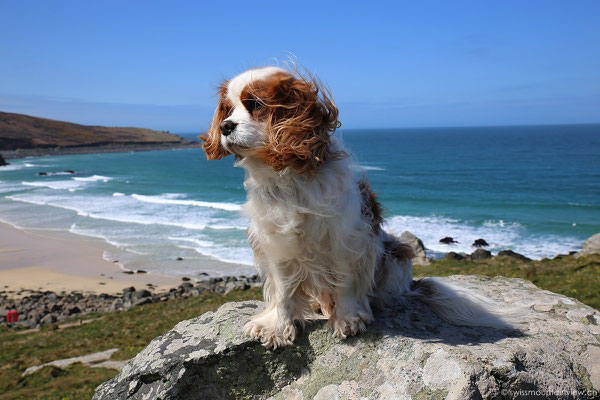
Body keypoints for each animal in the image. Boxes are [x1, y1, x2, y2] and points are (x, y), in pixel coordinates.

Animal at [199, 65, 508, 346]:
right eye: (227, 110)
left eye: (256, 105)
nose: (225, 126)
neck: (290, 178)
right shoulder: (277, 242)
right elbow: (285, 289)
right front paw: (278, 325)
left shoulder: (346, 239)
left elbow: (345, 280)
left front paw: (348, 317)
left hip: (394, 257)